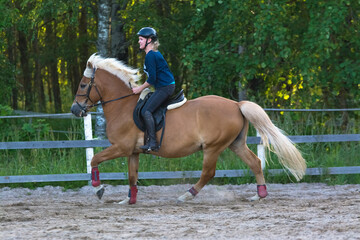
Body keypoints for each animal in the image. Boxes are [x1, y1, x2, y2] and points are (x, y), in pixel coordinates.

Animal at [71, 53, 306, 204]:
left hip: (213, 147)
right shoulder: (133, 152)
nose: (75, 109)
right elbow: (131, 176)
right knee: (255, 163)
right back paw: (259, 195)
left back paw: (187, 195)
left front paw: (99, 189)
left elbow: (94, 159)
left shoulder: (121, 147)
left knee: (208, 173)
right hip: (235, 144)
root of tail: (236, 105)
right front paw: (129, 200)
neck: (122, 106)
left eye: (83, 85)